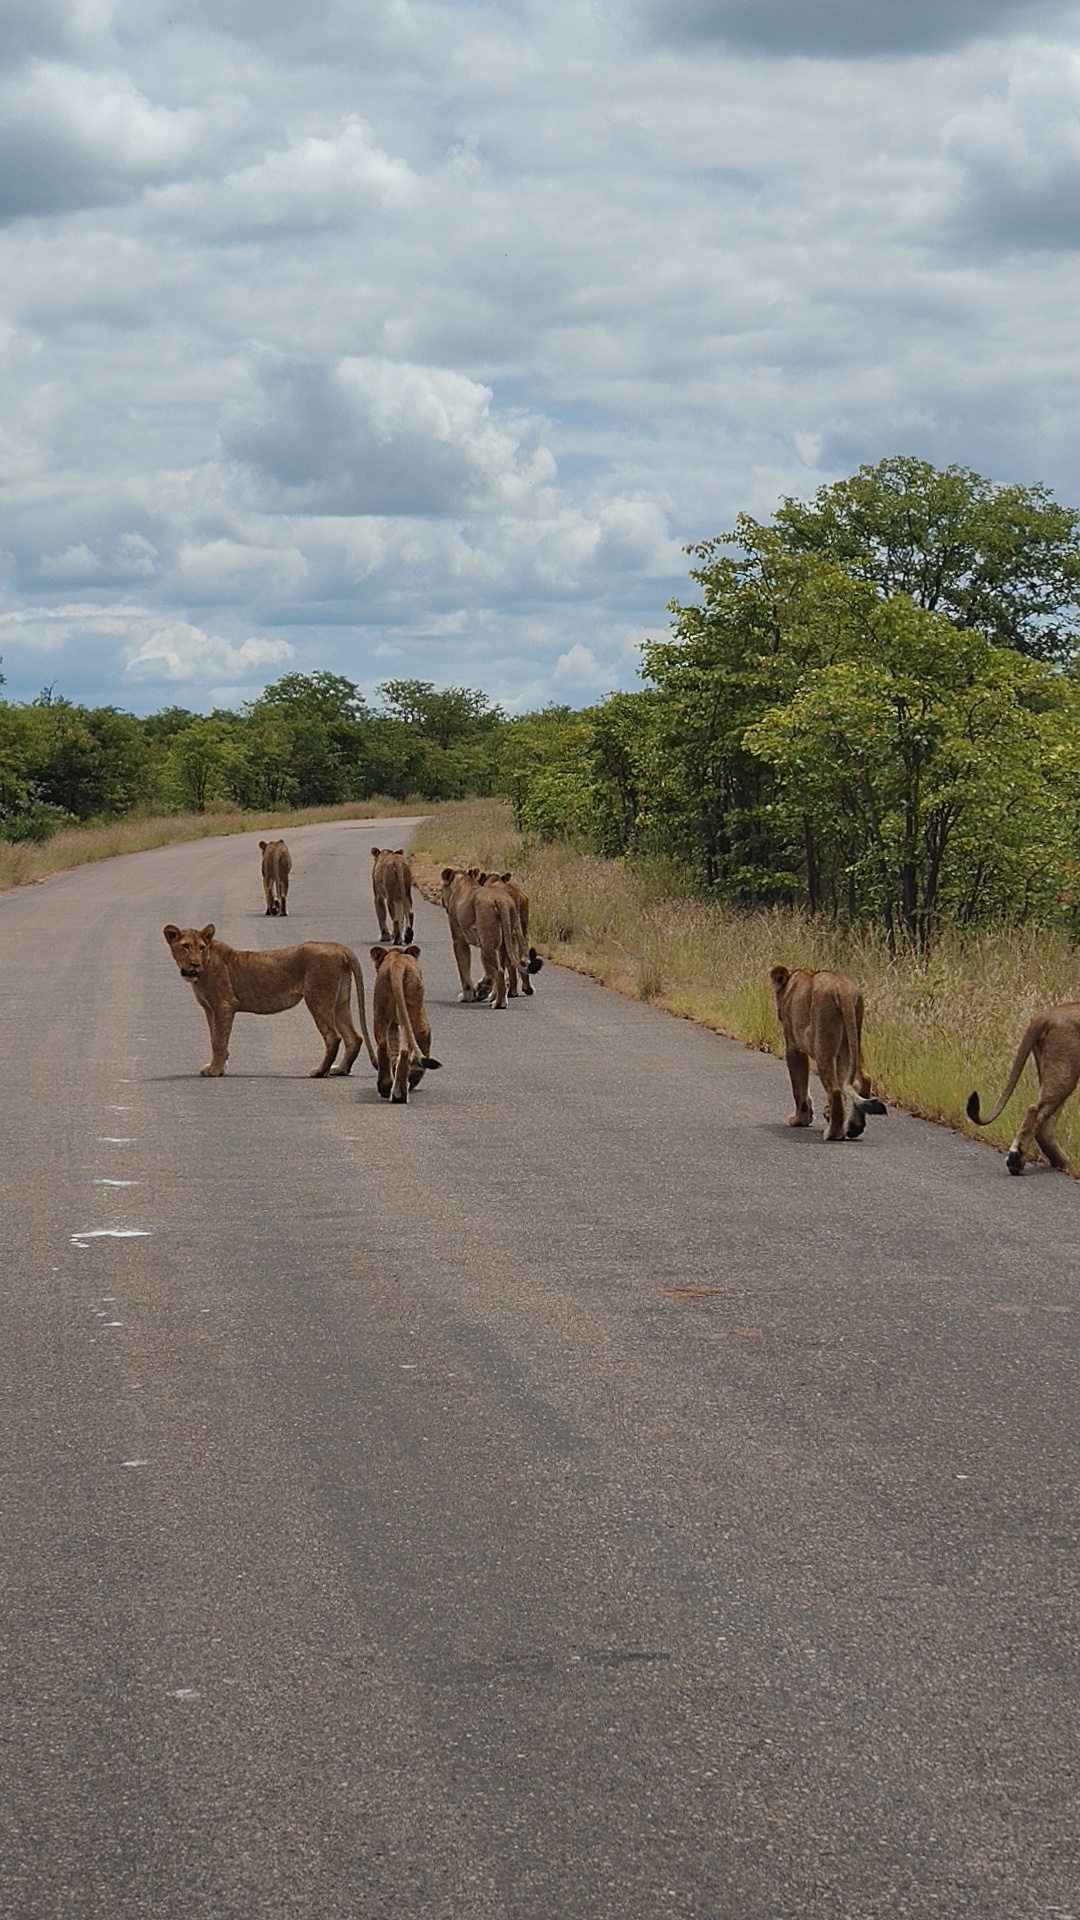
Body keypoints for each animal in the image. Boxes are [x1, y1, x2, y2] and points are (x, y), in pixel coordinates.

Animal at [163, 923, 377, 1077]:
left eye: (201, 948)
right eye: (185, 946)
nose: (194, 963)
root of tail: (337, 946)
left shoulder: (224, 1005)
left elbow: (218, 1041)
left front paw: (215, 1071)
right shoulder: (210, 1009)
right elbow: (214, 1037)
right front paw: (219, 1067)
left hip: (318, 997)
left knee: (333, 1036)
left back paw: (319, 1072)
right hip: (340, 1000)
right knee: (354, 1037)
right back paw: (340, 1069)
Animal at [369, 944, 442, 1102]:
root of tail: (397, 964)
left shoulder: (393, 1023)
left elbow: (393, 1046)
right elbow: (424, 1037)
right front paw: (414, 1077)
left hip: (381, 1009)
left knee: (384, 1045)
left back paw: (387, 1088)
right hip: (411, 1010)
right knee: (406, 1048)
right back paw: (398, 1093)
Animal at [440, 866, 533, 1009]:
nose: (441, 900)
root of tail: (501, 901)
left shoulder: (459, 940)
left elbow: (464, 970)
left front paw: (467, 996)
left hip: (488, 942)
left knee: (499, 971)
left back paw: (499, 1002)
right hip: (504, 940)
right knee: (510, 964)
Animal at [769, 965, 887, 1142]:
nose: (778, 1013)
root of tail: (843, 990)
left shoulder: (793, 1047)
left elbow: (799, 1088)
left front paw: (799, 1120)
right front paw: (825, 1113)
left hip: (823, 1044)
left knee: (835, 1089)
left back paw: (833, 1133)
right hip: (849, 1041)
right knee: (863, 1079)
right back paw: (854, 1127)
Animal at [966, 1002, 1080, 1174]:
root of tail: (1047, 1014)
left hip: (1055, 1071)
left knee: (1045, 1124)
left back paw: (1064, 1164)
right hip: (1066, 1070)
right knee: (1035, 1111)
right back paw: (1016, 1160)